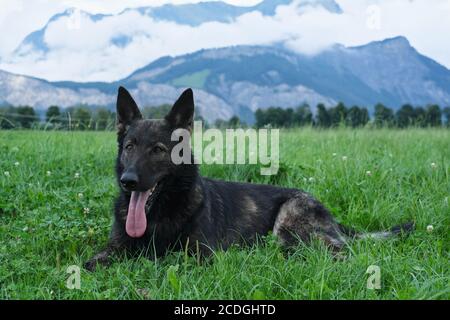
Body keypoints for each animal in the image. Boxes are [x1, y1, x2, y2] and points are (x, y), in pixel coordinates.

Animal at [84, 85, 414, 270]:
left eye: (158, 150)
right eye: (129, 146)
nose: (128, 181)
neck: (159, 214)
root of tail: (330, 216)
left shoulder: (201, 255)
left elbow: (162, 259)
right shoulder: (115, 247)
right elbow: (90, 263)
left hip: (290, 227)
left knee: (338, 252)